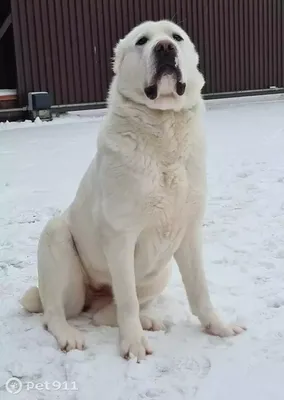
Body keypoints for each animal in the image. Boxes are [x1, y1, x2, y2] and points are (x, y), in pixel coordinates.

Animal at [21, 20, 244, 360]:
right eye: (142, 41)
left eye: (177, 37)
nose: (164, 48)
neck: (163, 127)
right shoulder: (121, 238)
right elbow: (127, 300)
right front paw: (134, 344)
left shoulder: (189, 232)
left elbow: (199, 289)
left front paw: (217, 326)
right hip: (57, 239)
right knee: (56, 313)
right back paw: (70, 335)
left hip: (160, 272)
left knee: (103, 314)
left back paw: (148, 319)